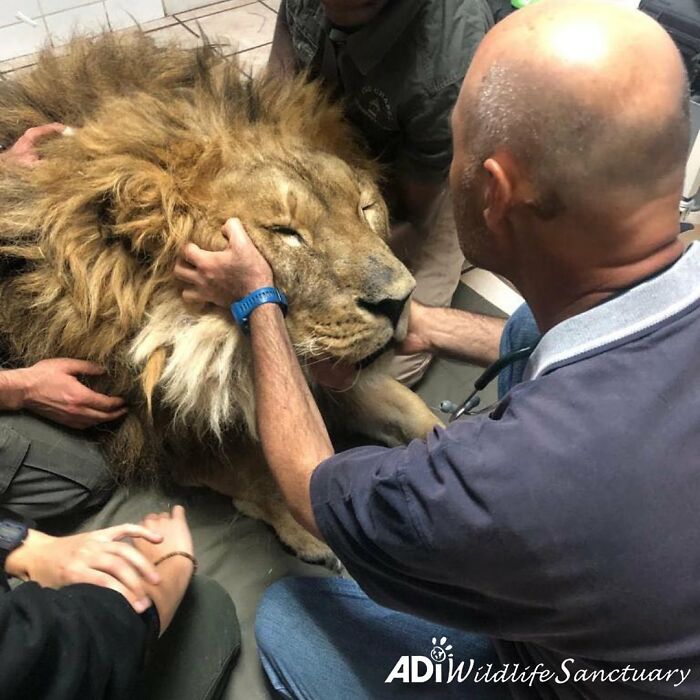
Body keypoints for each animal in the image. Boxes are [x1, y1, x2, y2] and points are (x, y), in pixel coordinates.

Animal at [0, 33, 440, 563]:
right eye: (285, 233)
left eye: (364, 208)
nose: (400, 301)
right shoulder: (160, 431)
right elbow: (254, 470)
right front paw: (308, 529)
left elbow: (410, 409)